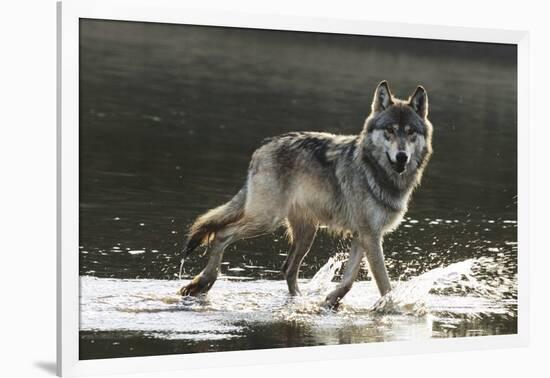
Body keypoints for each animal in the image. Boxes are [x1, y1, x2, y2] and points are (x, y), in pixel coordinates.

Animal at [179, 81, 434, 308]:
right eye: (390, 130)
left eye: (410, 132)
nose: (402, 157)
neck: (377, 172)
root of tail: (263, 146)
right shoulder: (370, 237)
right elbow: (384, 284)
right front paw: (393, 309)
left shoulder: (363, 235)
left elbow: (348, 281)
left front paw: (331, 300)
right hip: (267, 221)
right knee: (222, 234)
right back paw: (203, 282)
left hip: (305, 233)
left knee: (288, 268)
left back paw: (298, 300)